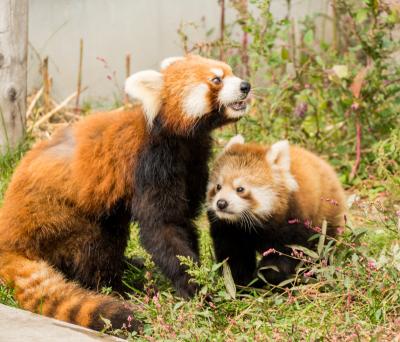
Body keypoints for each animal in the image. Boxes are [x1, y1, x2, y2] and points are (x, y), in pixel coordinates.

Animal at [0, 55, 250, 332]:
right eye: (216, 79)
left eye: (231, 72)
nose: (245, 86)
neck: (181, 139)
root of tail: (9, 241)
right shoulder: (152, 163)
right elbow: (162, 228)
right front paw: (197, 289)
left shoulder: (194, 162)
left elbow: (183, 220)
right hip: (57, 220)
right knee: (95, 244)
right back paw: (118, 288)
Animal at [208, 136, 346, 286]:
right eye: (218, 186)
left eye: (240, 189)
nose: (221, 203)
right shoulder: (229, 230)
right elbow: (233, 257)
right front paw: (241, 282)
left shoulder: (291, 223)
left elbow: (283, 256)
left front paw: (265, 279)